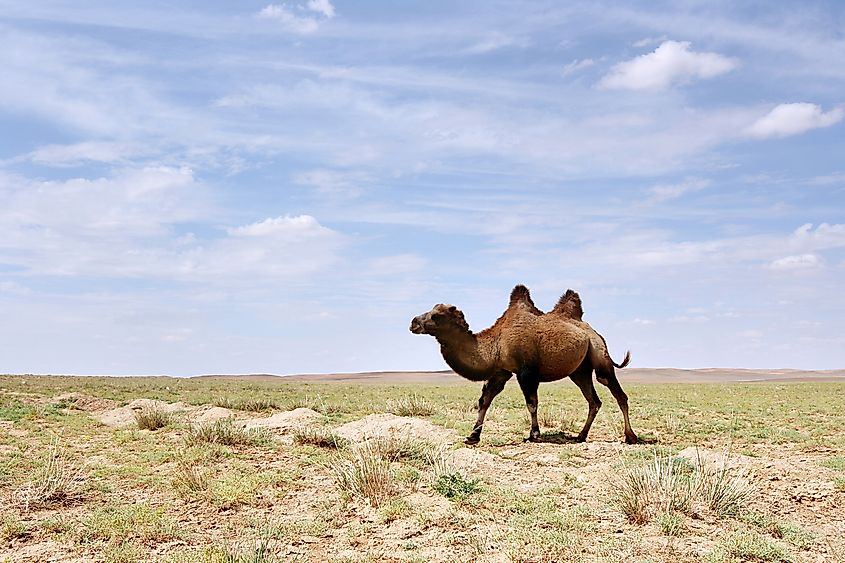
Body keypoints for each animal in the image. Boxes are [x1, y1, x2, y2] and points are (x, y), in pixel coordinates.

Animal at [410, 285, 637, 445]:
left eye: (436, 316)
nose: (413, 322)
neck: (496, 342)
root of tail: (592, 331)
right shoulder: (501, 370)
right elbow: (485, 400)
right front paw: (473, 436)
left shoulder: (525, 371)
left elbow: (531, 402)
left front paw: (533, 434)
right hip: (579, 370)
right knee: (594, 400)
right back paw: (581, 436)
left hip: (599, 354)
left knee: (615, 390)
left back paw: (630, 437)